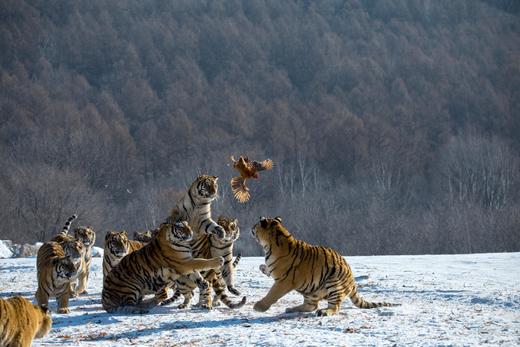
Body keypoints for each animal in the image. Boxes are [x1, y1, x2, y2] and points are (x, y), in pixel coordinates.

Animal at [251, 218, 398, 318]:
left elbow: (272, 294)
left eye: (255, 225)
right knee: (311, 305)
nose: (251, 227)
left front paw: (259, 307)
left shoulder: (284, 281)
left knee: (334, 307)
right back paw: (291, 309)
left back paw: (324, 312)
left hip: (333, 283)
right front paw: (262, 267)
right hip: (311, 291)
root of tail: (352, 281)